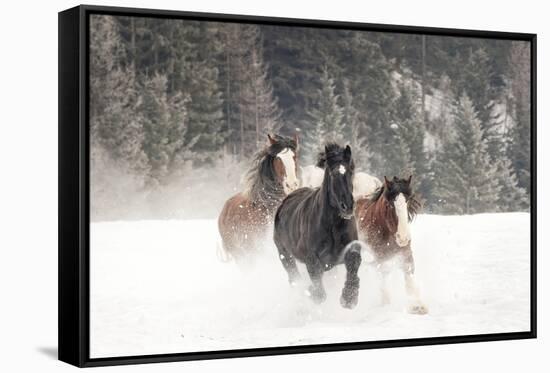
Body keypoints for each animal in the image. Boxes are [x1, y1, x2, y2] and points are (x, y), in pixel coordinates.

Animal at [274, 142, 362, 308]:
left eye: (351, 171)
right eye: (333, 174)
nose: (347, 206)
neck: (333, 226)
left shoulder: (350, 250)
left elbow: (354, 265)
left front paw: (349, 298)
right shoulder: (312, 259)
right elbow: (319, 291)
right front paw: (311, 292)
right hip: (285, 255)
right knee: (293, 276)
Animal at [356, 175, 430, 314]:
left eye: (407, 201)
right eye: (389, 204)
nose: (403, 237)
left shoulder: (406, 253)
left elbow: (409, 277)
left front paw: (417, 305)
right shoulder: (379, 258)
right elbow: (382, 279)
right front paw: (385, 304)